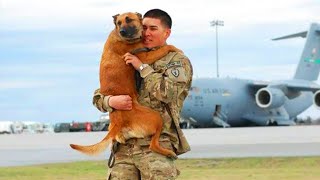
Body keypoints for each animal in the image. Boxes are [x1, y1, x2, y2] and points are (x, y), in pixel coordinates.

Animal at [69, 12, 179, 158]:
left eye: (129, 20)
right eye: (119, 23)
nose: (122, 31)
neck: (119, 36)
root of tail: (117, 123)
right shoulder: (144, 57)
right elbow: (165, 47)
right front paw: (175, 48)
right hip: (156, 117)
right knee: (153, 144)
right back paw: (168, 152)